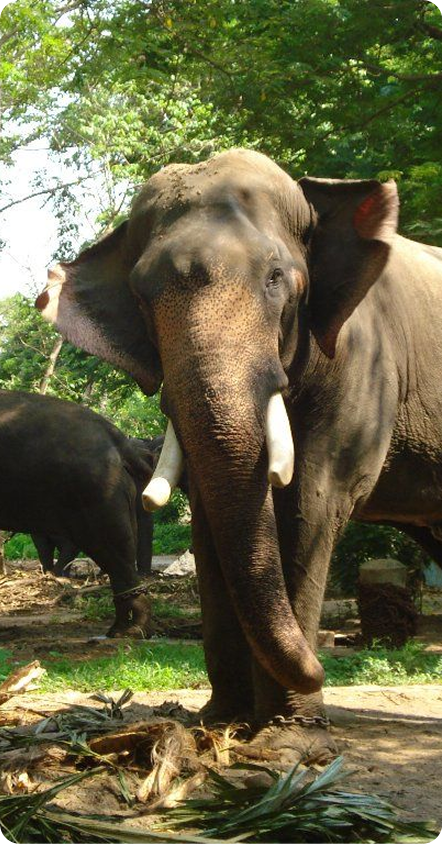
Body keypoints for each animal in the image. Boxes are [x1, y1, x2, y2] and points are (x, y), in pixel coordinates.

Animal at [37, 148, 442, 765]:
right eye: (140, 296)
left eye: (276, 278)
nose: (323, 663)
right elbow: (210, 523)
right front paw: (220, 723)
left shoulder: (364, 365)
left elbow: (308, 508)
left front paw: (289, 743)